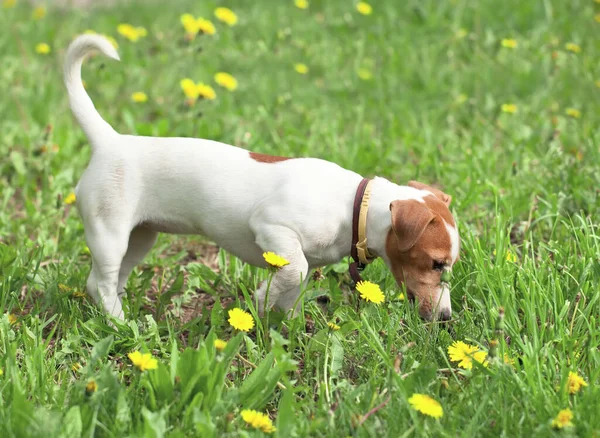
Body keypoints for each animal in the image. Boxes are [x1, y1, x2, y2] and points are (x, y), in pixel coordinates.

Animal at [63, 35, 460, 322]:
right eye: (435, 263)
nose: (445, 318)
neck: (354, 207)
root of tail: (109, 140)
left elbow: (295, 288)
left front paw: (289, 326)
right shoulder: (272, 227)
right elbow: (295, 270)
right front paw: (260, 298)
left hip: (141, 237)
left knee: (109, 279)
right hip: (109, 233)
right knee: (101, 281)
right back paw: (118, 322)